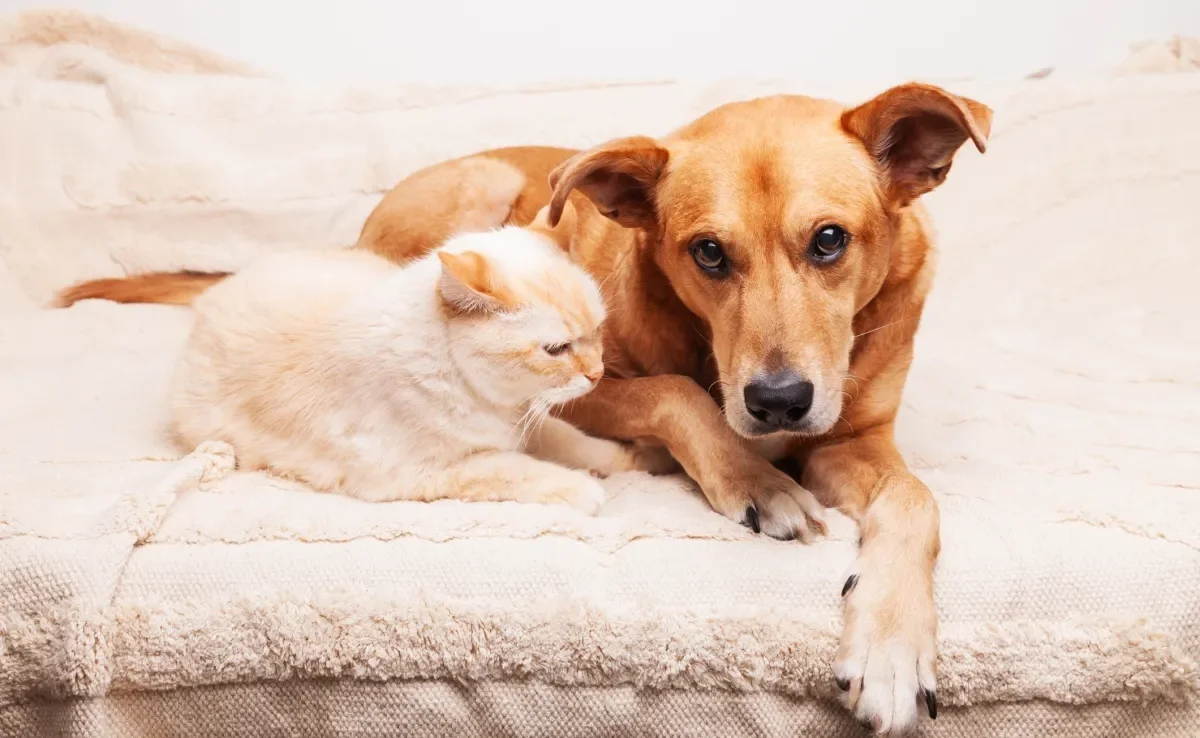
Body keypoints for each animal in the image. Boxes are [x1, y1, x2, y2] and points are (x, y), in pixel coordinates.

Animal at [169, 201, 657, 513]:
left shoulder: (526, 420)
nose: (596, 374)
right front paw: (582, 488)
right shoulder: (419, 474)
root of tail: (219, 289)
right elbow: (515, 469)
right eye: (556, 349)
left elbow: (574, 441)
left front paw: (629, 460)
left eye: (598, 330)